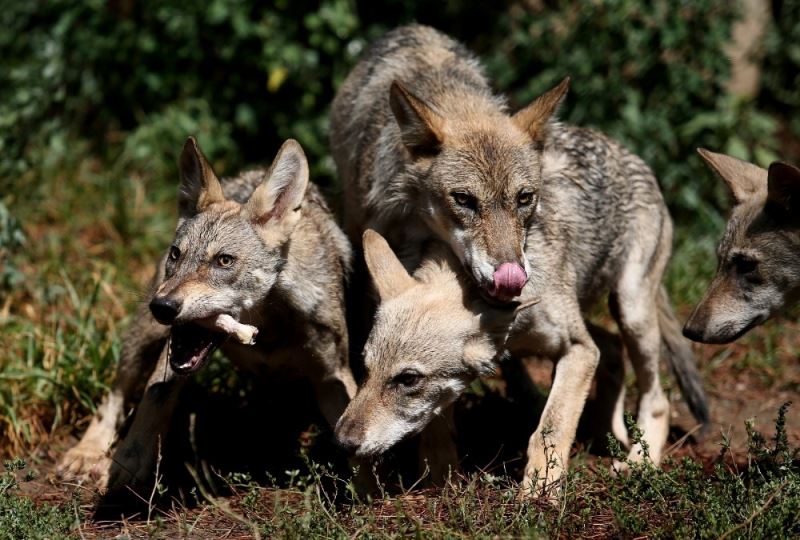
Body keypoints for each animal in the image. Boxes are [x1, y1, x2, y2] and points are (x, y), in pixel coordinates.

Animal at [57, 136, 356, 498]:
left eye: (224, 260)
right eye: (177, 254)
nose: (162, 306)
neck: (267, 329)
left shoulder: (333, 377)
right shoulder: (172, 353)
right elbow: (151, 402)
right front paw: (126, 464)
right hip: (142, 338)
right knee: (114, 395)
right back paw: (86, 453)